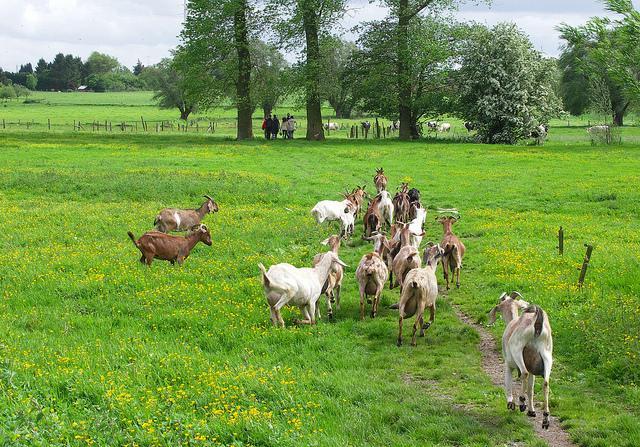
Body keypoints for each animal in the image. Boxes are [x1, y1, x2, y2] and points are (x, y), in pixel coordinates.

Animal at [490, 292, 556, 432]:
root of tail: (537, 324)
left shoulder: (508, 364)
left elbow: (508, 381)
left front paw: (510, 403)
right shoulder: (533, 371)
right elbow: (531, 389)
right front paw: (531, 411)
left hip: (517, 349)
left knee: (524, 373)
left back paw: (521, 402)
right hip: (547, 355)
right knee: (546, 383)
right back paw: (545, 418)